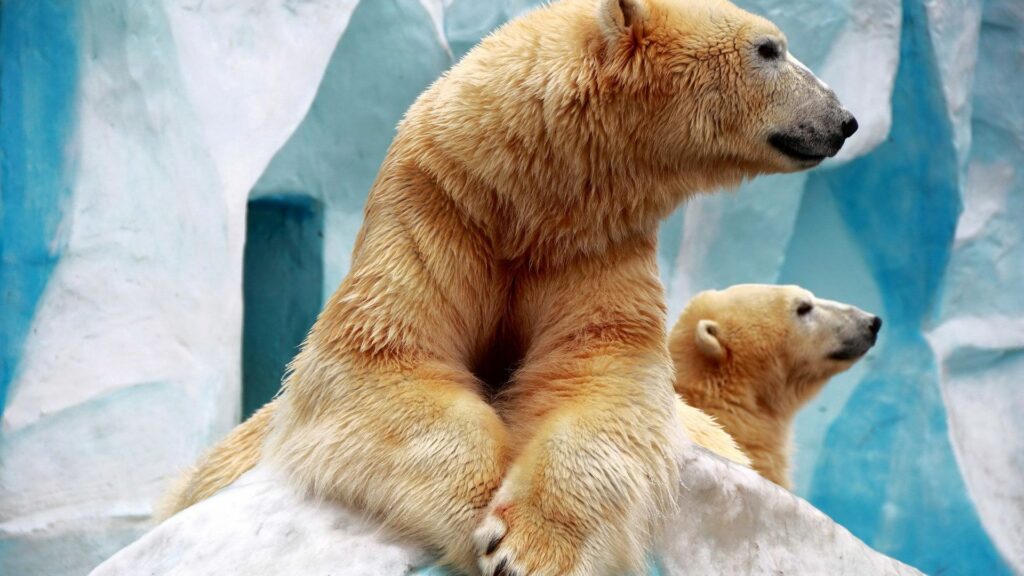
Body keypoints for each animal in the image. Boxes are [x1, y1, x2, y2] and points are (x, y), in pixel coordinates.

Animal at [162, 0, 856, 573]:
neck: (525, 194)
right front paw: (482, 517)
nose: (845, 119)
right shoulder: (438, 207)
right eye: (769, 48)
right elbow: (384, 355)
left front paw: (531, 545)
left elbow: (602, 374)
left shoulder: (593, 242)